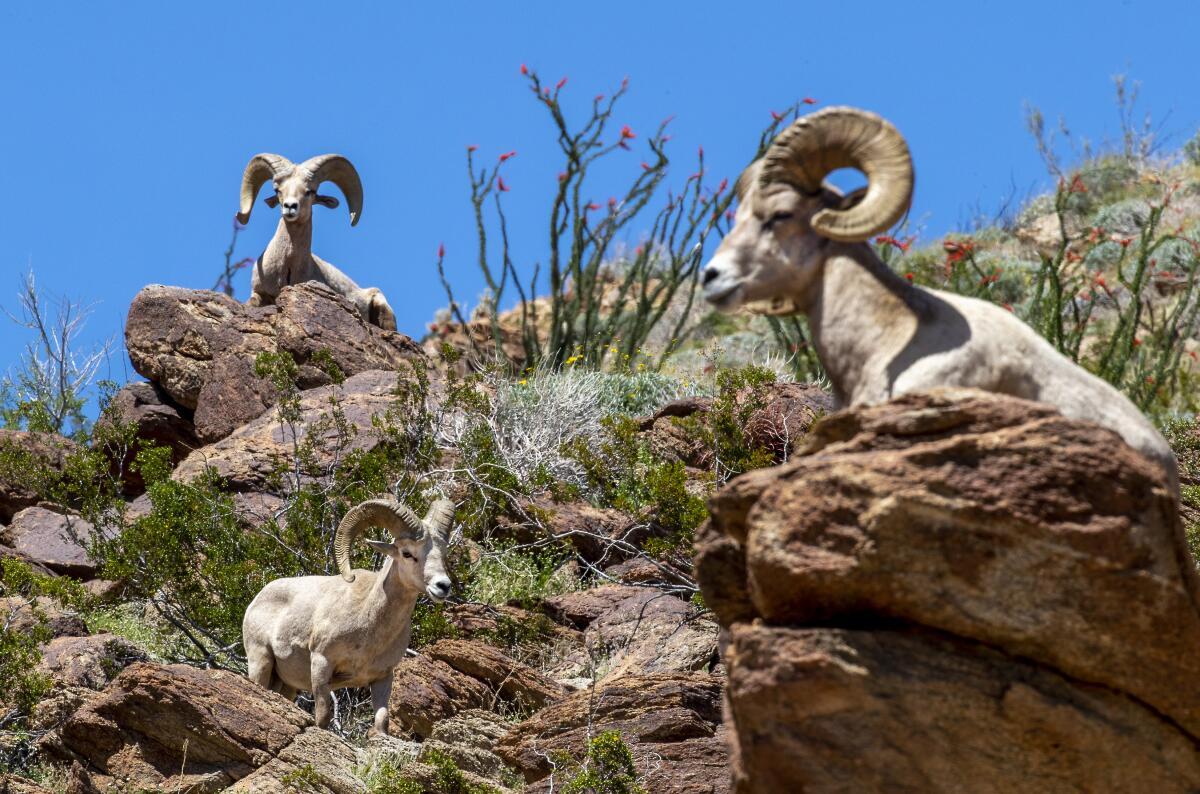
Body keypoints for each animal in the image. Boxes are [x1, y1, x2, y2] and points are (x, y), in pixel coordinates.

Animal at [240, 501, 453, 738]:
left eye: (442, 553)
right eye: (407, 553)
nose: (443, 586)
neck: (369, 627)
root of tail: (257, 599)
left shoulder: (383, 677)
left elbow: (382, 721)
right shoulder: (321, 662)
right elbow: (323, 716)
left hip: (286, 684)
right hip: (260, 661)